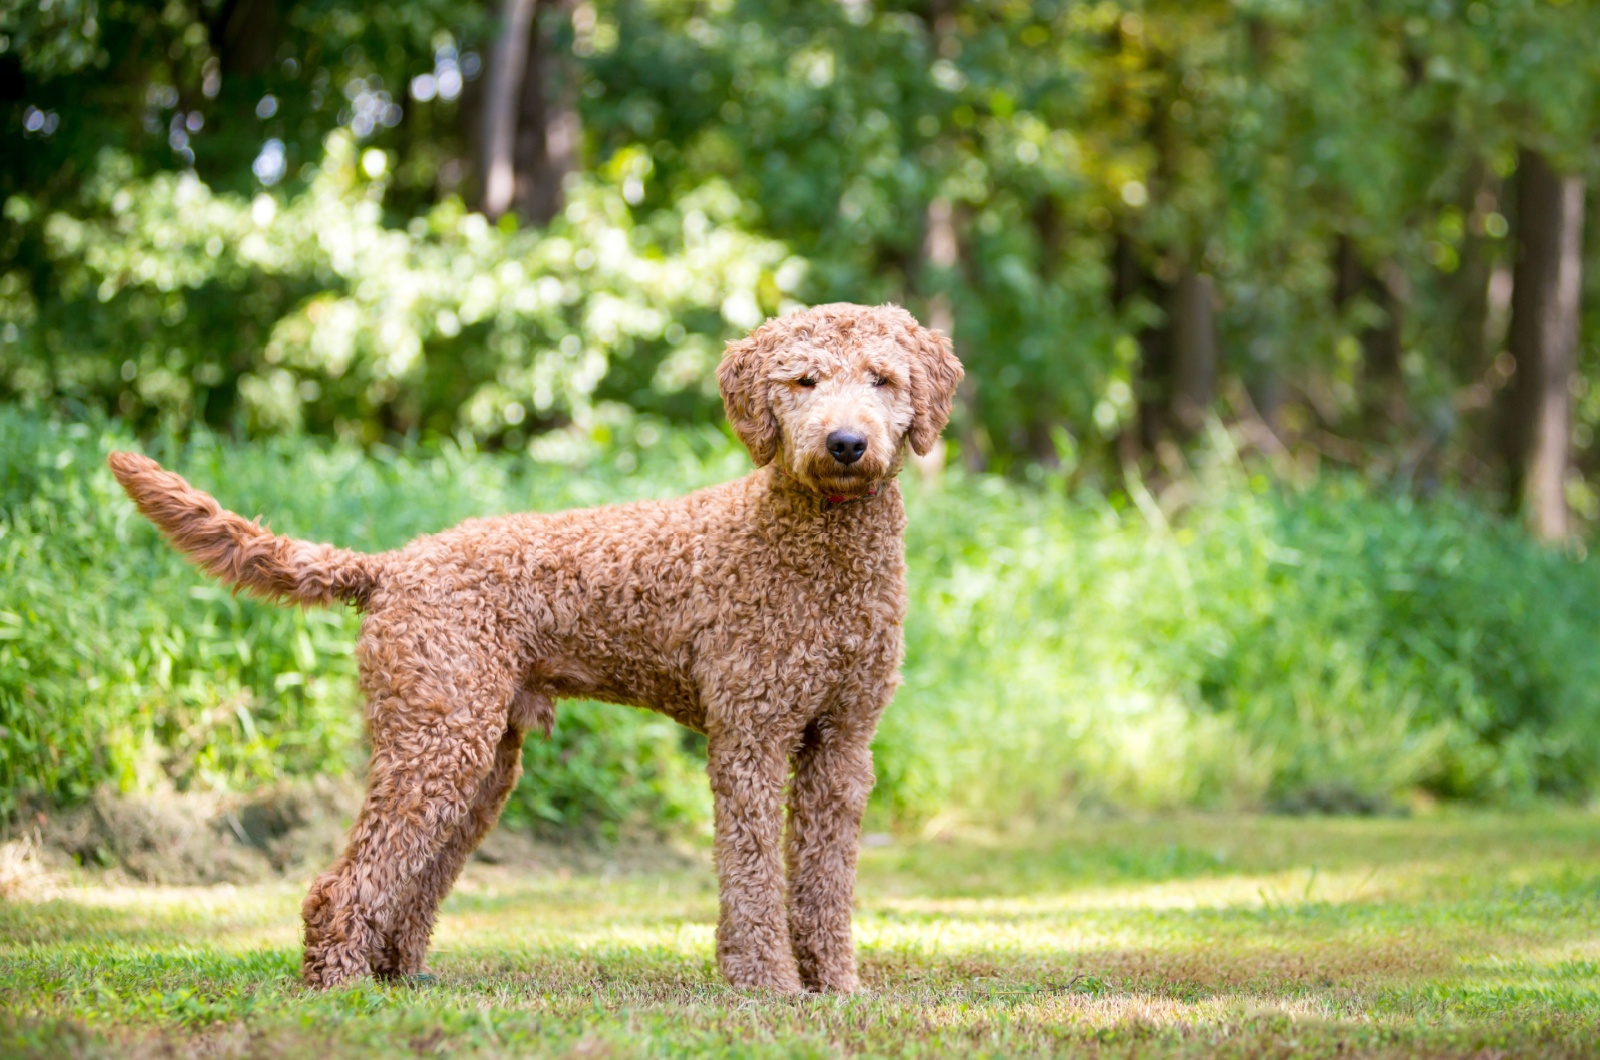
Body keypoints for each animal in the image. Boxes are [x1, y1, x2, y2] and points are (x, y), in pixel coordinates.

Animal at [112, 301, 966, 999]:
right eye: (803, 379)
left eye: (882, 378)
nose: (846, 442)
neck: (818, 548)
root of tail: (390, 565)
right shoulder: (750, 736)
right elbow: (753, 873)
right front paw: (767, 984)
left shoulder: (842, 746)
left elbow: (827, 882)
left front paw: (837, 984)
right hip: (438, 740)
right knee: (348, 881)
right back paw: (341, 983)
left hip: (479, 758)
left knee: (415, 877)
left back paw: (400, 973)